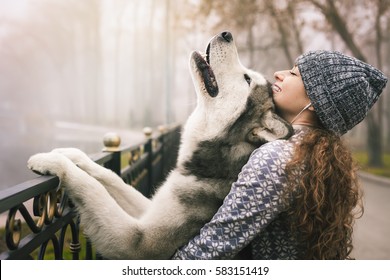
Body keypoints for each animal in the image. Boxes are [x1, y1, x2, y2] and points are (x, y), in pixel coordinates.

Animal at [28, 31, 292, 260]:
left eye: (247, 79)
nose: (227, 34)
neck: (212, 166)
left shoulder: (139, 243)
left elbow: (90, 187)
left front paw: (52, 162)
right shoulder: (149, 209)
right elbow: (110, 177)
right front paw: (70, 153)